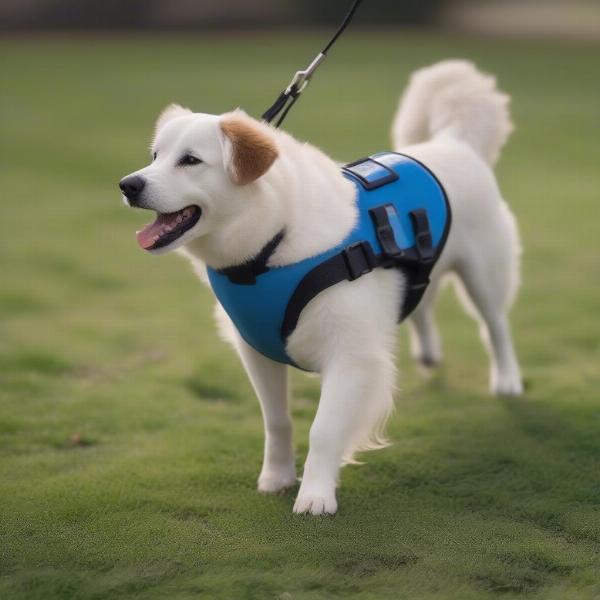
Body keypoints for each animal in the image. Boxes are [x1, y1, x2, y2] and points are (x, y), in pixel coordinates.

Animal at [119, 61, 524, 516]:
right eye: (155, 157)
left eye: (190, 161)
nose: (128, 185)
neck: (271, 243)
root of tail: (452, 143)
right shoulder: (257, 351)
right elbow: (277, 421)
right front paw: (277, 477)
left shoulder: (350, 356)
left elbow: (324, 430)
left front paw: (315, 495)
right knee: (423, 302)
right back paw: (429, 352)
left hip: (484, 274)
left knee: (495, 326)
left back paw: (507, 379)